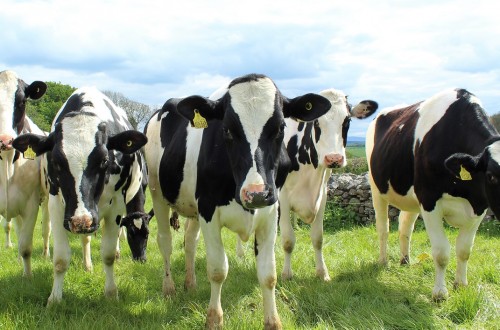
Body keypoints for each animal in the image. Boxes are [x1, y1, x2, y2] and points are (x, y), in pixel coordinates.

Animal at [12, 85, 148, 304]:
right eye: (56, 162)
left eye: (104, 160)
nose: (81, 221)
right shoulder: (57, 206)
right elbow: (60, 258)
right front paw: (54, 299)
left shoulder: (117, 207)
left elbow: (108, 254)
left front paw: (111, 293)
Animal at [145, 73, 332, 328]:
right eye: (227, 130)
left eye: (280, 127)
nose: (256, 193)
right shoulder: (208, 210)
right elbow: (217, 269)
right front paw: (214, 319)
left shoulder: (271, 212)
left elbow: (268, 274)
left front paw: (273, 322)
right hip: (157, 193)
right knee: (165, 241)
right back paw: (169, 288)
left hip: (191, 207)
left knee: (190, 242)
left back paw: (190, 283)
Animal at [364, 88, 500, 302]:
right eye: (491, 176)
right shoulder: (429, 200)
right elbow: (441, 252)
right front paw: (440, 293)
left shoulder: (479, 205)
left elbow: (464, 250)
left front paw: (461, 285)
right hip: (377, 188)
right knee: (383, 228)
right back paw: (383, 261)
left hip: (411, 197)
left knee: (405, 226)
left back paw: (405, 260)